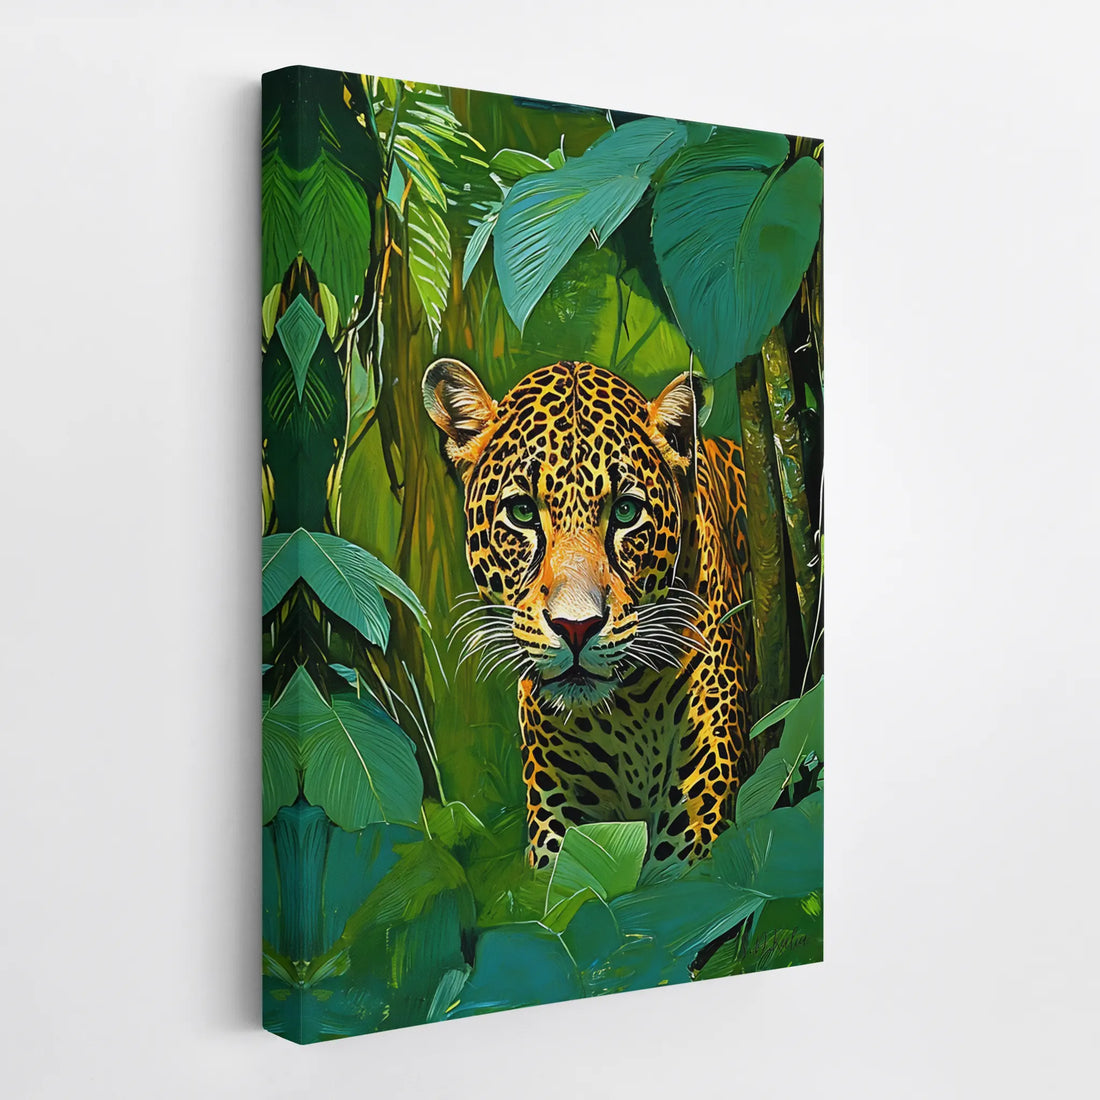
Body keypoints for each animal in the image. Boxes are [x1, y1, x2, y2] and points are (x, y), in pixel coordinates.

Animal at [423, 357, 751, 870]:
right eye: (522, 512)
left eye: (626, 512)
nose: (575, 629)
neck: (629, 712)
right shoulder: (561, 818)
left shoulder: (696, 817)